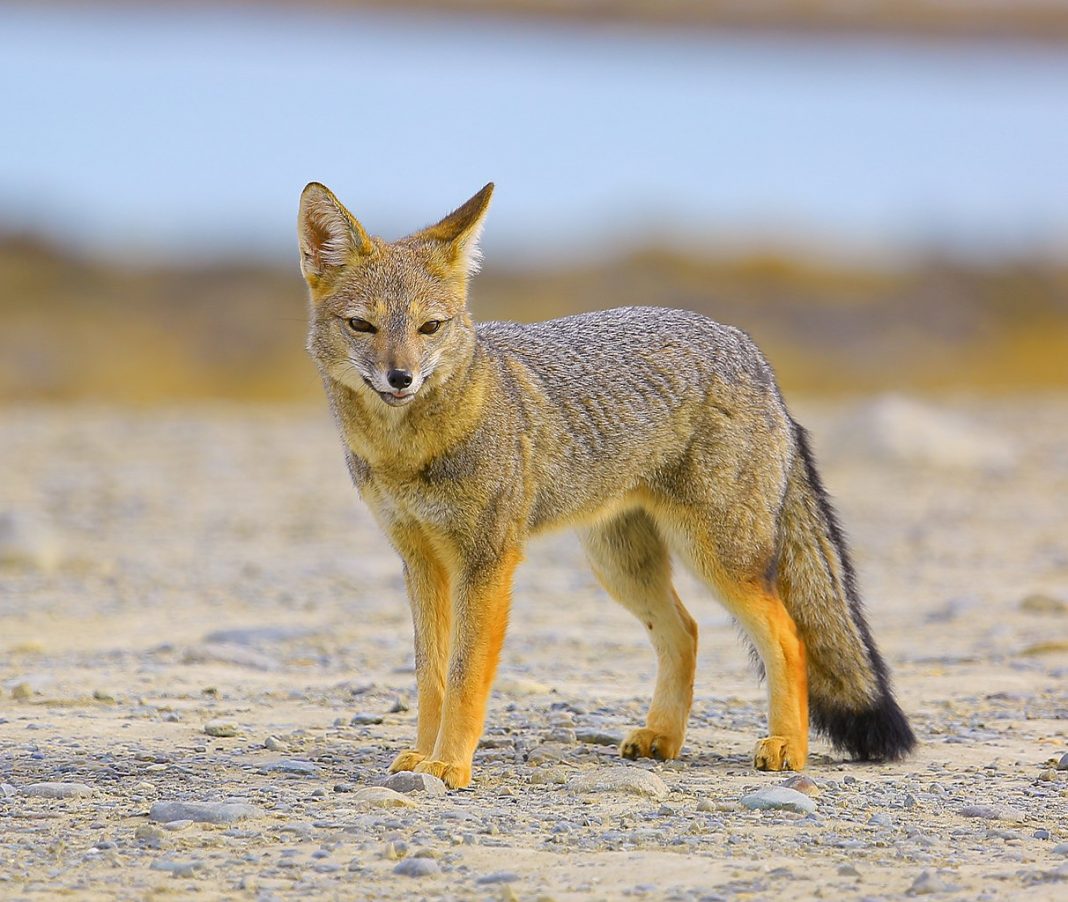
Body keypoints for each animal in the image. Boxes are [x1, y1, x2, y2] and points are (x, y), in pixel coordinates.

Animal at [296, 179, 914, 785]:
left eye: (430, 327)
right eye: (363, 325)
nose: (400, 378)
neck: (408, 452)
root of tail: (750, 349)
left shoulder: (486, 562)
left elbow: (467, 677)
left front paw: (449, 764)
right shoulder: (421, 562)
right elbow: (432, 677)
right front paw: (422, 756)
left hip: (718, 558)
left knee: (788, 637)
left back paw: (788, 745)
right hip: (620, 566)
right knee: (686, 632)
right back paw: (663, 736)